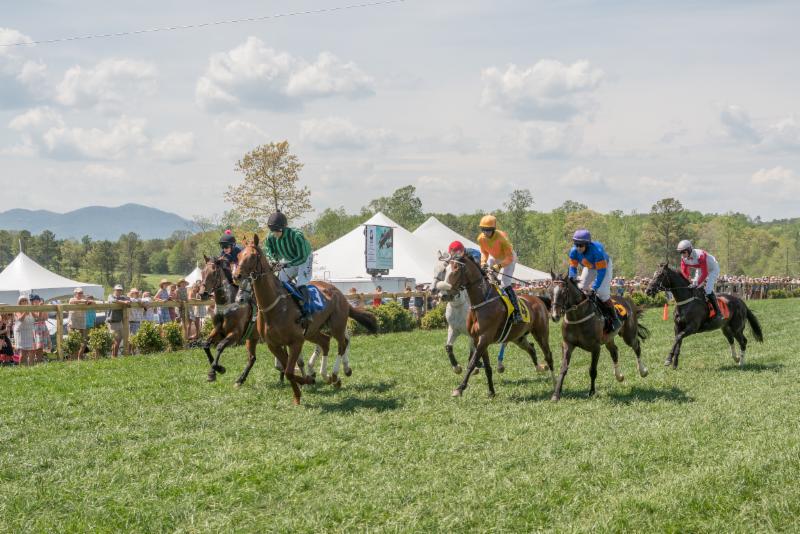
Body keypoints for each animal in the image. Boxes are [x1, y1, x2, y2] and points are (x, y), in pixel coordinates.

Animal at [198, 258, 264, 388]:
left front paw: (214, 371)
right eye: (202, 272)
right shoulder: (218, 331)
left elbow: (220, 346)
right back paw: (240, 380)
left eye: (214, 273)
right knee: (252, 358)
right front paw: (218, 370)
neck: (227, 304)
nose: (203, 294)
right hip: (252, 338)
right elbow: (206, 345)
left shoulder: (235, 334)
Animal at [234, 234, 378, 406]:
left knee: (342, 344)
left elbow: (289, 371)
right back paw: (326, 375)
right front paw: (301, 389)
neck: (275, 306)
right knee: (325, 342)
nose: (237, 276)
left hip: (336, 325)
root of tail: (338, 292)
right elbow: (286, 368)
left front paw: (307, 382)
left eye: (253, 256)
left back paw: (335, 374)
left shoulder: (296, 341)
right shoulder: (273, 344)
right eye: (238, 256)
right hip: (313, 331)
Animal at [438, 253, 556, 400]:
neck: (482, 302)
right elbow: (487, 367)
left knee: (548, 355)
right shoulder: (478, 339)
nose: (444, 295)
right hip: (518, 337)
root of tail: (538, 299)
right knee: (531, 348)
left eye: (455, 270)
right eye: (445, 271)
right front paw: (491, 392)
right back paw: (540, 367)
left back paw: (555, 385)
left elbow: (472, 363)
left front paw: (459, 389)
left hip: (541, 333)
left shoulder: (484, 338)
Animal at [552, 272, 648, 402]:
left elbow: (592, 370)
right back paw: (619, 376)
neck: (578, 315)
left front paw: (592, 392)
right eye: (550, 291)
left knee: (636, 346)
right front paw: (556, 394)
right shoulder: (568, 344)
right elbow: (563, 368)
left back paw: (643, 371)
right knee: (614, 351)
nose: (554, 316)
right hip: (609, 338)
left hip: (629, 335)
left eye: (563, 292)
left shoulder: (596, 347)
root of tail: (626, 299)